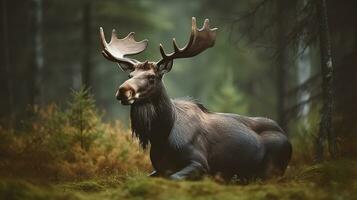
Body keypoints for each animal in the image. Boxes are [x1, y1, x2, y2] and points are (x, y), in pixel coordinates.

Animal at [98, 16, 290, 180]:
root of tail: (286, 137)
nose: (123, 90)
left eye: (152, 77)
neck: (161, 136)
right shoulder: (157, 168)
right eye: (130, 74)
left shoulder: (200, 162)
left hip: (273, 167)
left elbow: (174, 177)